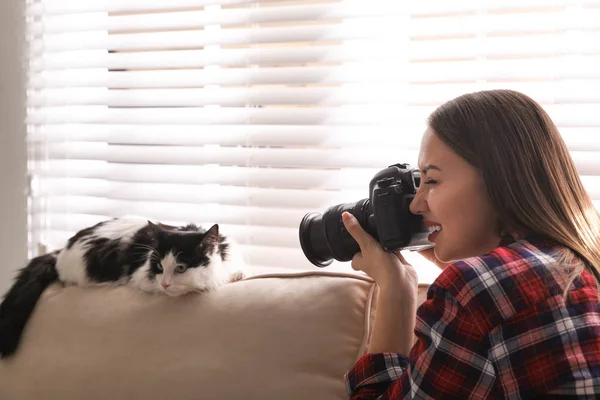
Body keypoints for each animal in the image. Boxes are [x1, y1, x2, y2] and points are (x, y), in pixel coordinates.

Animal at [0, 220, 246, 358]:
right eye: (159, 267)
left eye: (181, 267)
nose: (165, 283)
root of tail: (61, 250)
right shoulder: (140, 276)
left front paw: (237, 274)